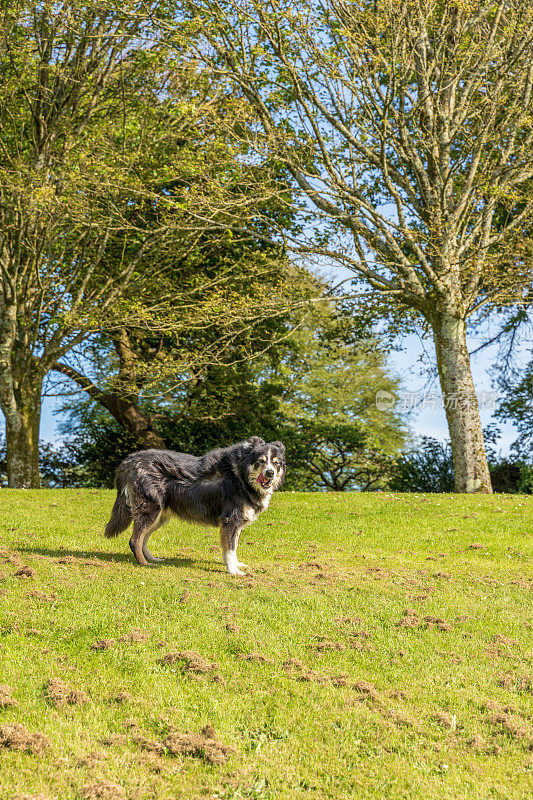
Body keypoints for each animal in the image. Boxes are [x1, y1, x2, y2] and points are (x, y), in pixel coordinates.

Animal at [105, 438, 286, 576]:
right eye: (261, 461)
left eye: (276, 463)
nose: (270, 473)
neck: (241, 476)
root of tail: (131, 459)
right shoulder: (230, 521)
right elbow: (229, 548)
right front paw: (232, 571)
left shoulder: (236, 524)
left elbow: (233, 547)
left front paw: (236, 565)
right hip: (150, 511)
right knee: (135, 540)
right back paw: (145, 564)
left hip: (158, 517)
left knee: (143, 539)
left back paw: (152, 559)